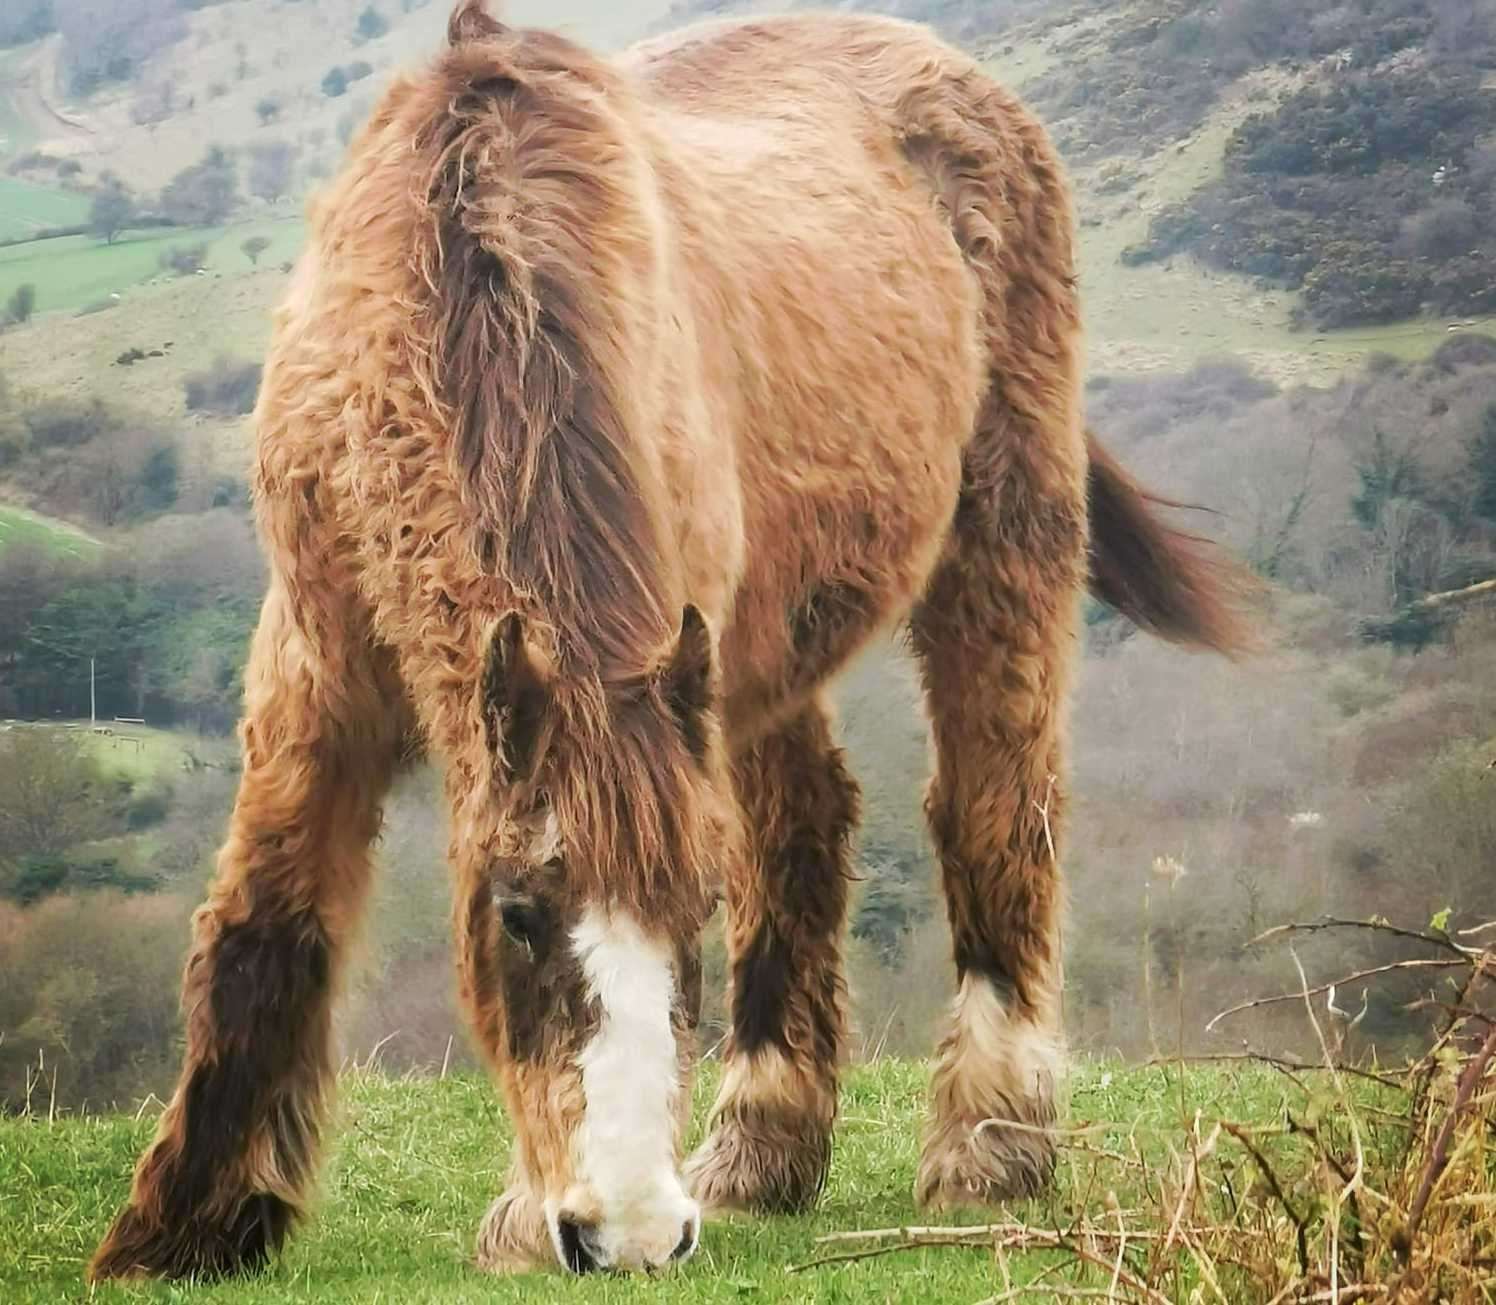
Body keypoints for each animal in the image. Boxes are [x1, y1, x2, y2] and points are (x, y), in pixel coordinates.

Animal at [84, 2, 1250, 1287]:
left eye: (689, 911)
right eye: (515, 914)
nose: (631, 1231)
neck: (445, 285)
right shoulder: (317, 657)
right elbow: (265, 916)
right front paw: (187, 1225)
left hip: (1000, 534)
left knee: (994, 811)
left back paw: (991, 1144)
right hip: (757, 650)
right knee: (805, 824)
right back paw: (761, 1149)